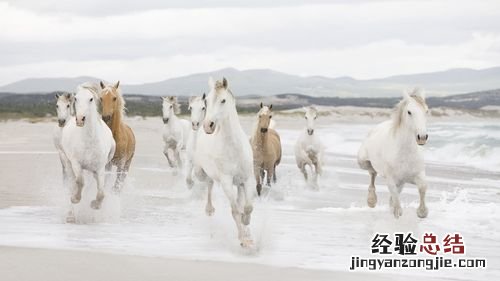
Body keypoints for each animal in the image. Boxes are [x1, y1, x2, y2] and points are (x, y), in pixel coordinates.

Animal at [194, 77, 254, 246]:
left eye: (223, 100)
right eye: (206, 101)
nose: (208, 125)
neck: (234, 147)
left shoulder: (248, 179)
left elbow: (247, 207)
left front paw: (247, 225)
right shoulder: (227, 181)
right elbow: (235, 211)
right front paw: (244, 240)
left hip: (239, 183)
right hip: (201, 172)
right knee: (209, 183)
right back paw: (209, 209)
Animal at [356, 88, 430, 218]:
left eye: (426, 111)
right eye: (409, 112)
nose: (422, 137)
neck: (405, 153)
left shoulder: (417, 175)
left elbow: (422, 187)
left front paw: (422, 212)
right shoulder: (391, 179)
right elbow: (394, 193)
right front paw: (397, 211)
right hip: (362, 162)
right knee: (372, 173)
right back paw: (371, 200)